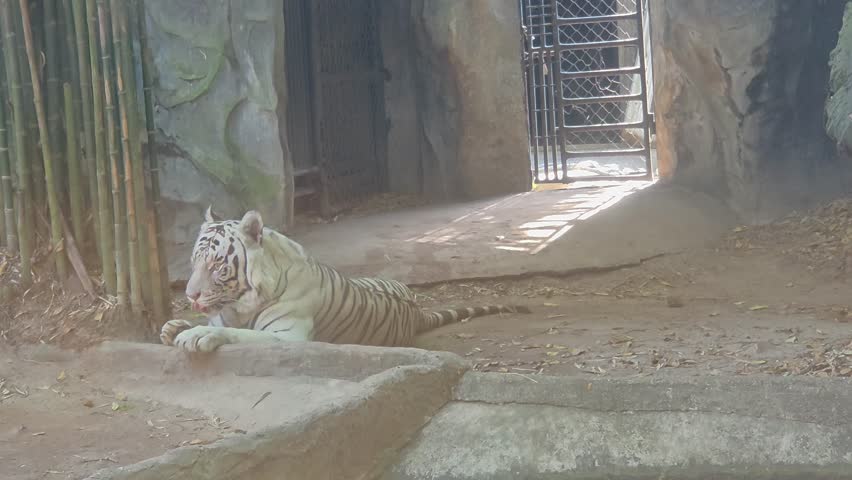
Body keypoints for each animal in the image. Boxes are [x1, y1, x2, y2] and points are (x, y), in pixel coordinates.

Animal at [160, 207, 531, 353]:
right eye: (193, 263)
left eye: (217, 265)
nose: (190, 296)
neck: (240, 305)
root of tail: (415, 310)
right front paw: (173, 326)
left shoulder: (288, 337)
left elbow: (239, 334)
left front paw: (195, 335)